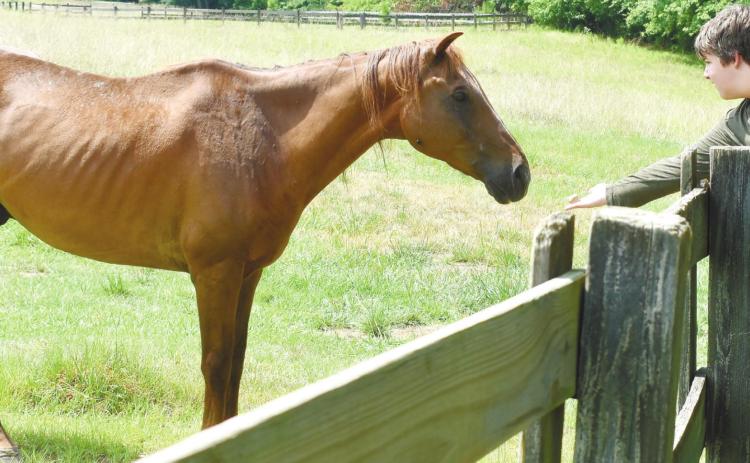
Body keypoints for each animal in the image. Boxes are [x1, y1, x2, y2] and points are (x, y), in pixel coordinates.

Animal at [0, 32, 530, 430]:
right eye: (460, 95)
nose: (519, 173)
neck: (260, 138)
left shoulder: (247, 273)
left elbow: (236, 360)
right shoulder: (215, 273)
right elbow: (215, 363)